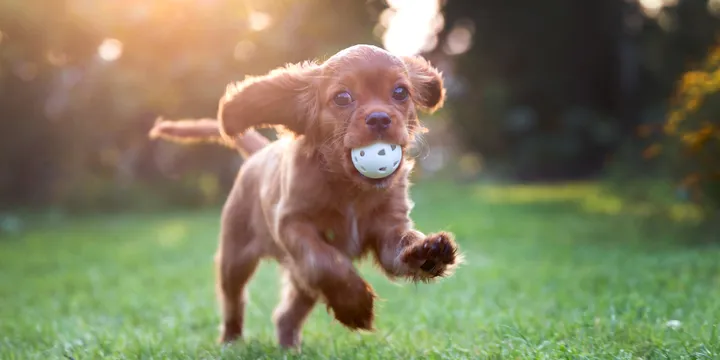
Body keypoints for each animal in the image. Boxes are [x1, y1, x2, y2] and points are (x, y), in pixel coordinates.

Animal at [149, 44, 462, 348]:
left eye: (400, 92)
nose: (380, 119)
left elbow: (398, 250)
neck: (349, 188)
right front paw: (355, 305)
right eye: (342, 97)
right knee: (233, 300)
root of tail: (260, 152)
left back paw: (289, 348)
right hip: (234, 257)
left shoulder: (389, 228)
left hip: (297, 281)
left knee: (286, 314)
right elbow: (325, 261)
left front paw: (428, 253)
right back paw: (231, 341)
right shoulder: (293, 224)